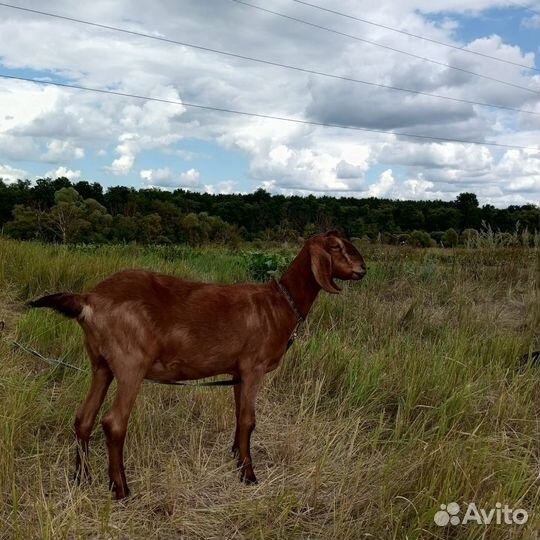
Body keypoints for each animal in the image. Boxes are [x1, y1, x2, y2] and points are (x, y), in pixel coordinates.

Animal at [29, 230, 368, 500]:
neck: (279, 305)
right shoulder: (254, 367)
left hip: (101, 364)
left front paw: (236, 456)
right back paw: (121, 489)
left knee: (83, 418)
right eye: (336, 246)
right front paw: (249, 475)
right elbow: (249, 420)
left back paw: (81, 478)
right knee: (113, 422)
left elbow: (238, 416)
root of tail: (89, 299)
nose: (364, 269)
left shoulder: (237, 371)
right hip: (130, 363)